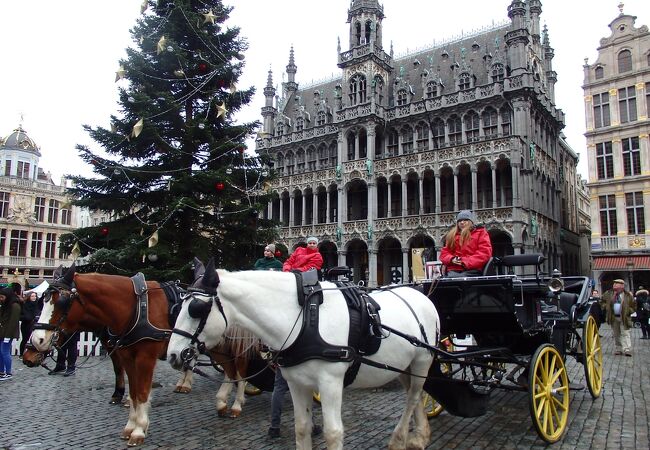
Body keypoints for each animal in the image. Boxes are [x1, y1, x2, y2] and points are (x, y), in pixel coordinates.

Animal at [167, 260, 440, 450]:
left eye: (196, 309)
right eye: (178, 306)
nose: (173, 355)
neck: (305, 317)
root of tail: (422, 295)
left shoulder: (330, 383)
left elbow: (333, 433)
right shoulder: (297, 383)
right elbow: (301, 428)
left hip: (423, 361)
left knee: (412, 397)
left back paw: (399, 439)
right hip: (404, 366)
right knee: (414, 395)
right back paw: (420, 436)